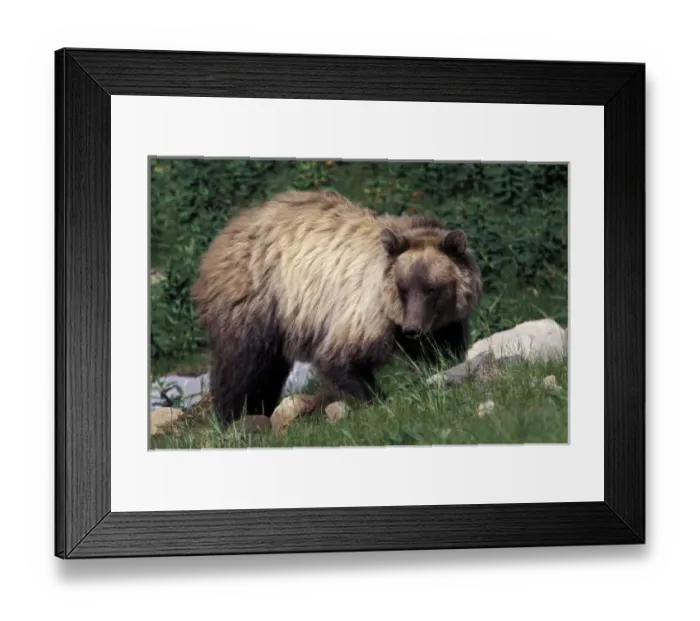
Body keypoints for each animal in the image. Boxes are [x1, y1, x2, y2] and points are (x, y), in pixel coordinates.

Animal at [191, 189, 483, 425]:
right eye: (404, 288)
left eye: (431, 288)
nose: (413, 328)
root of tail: (220, 239)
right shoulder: (366, 310)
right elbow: (340, 358)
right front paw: (378, 399)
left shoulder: (439, 321)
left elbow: (443, 348)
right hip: (258, 296)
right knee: (244, 363)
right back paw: (233, 416)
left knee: (269, 368)